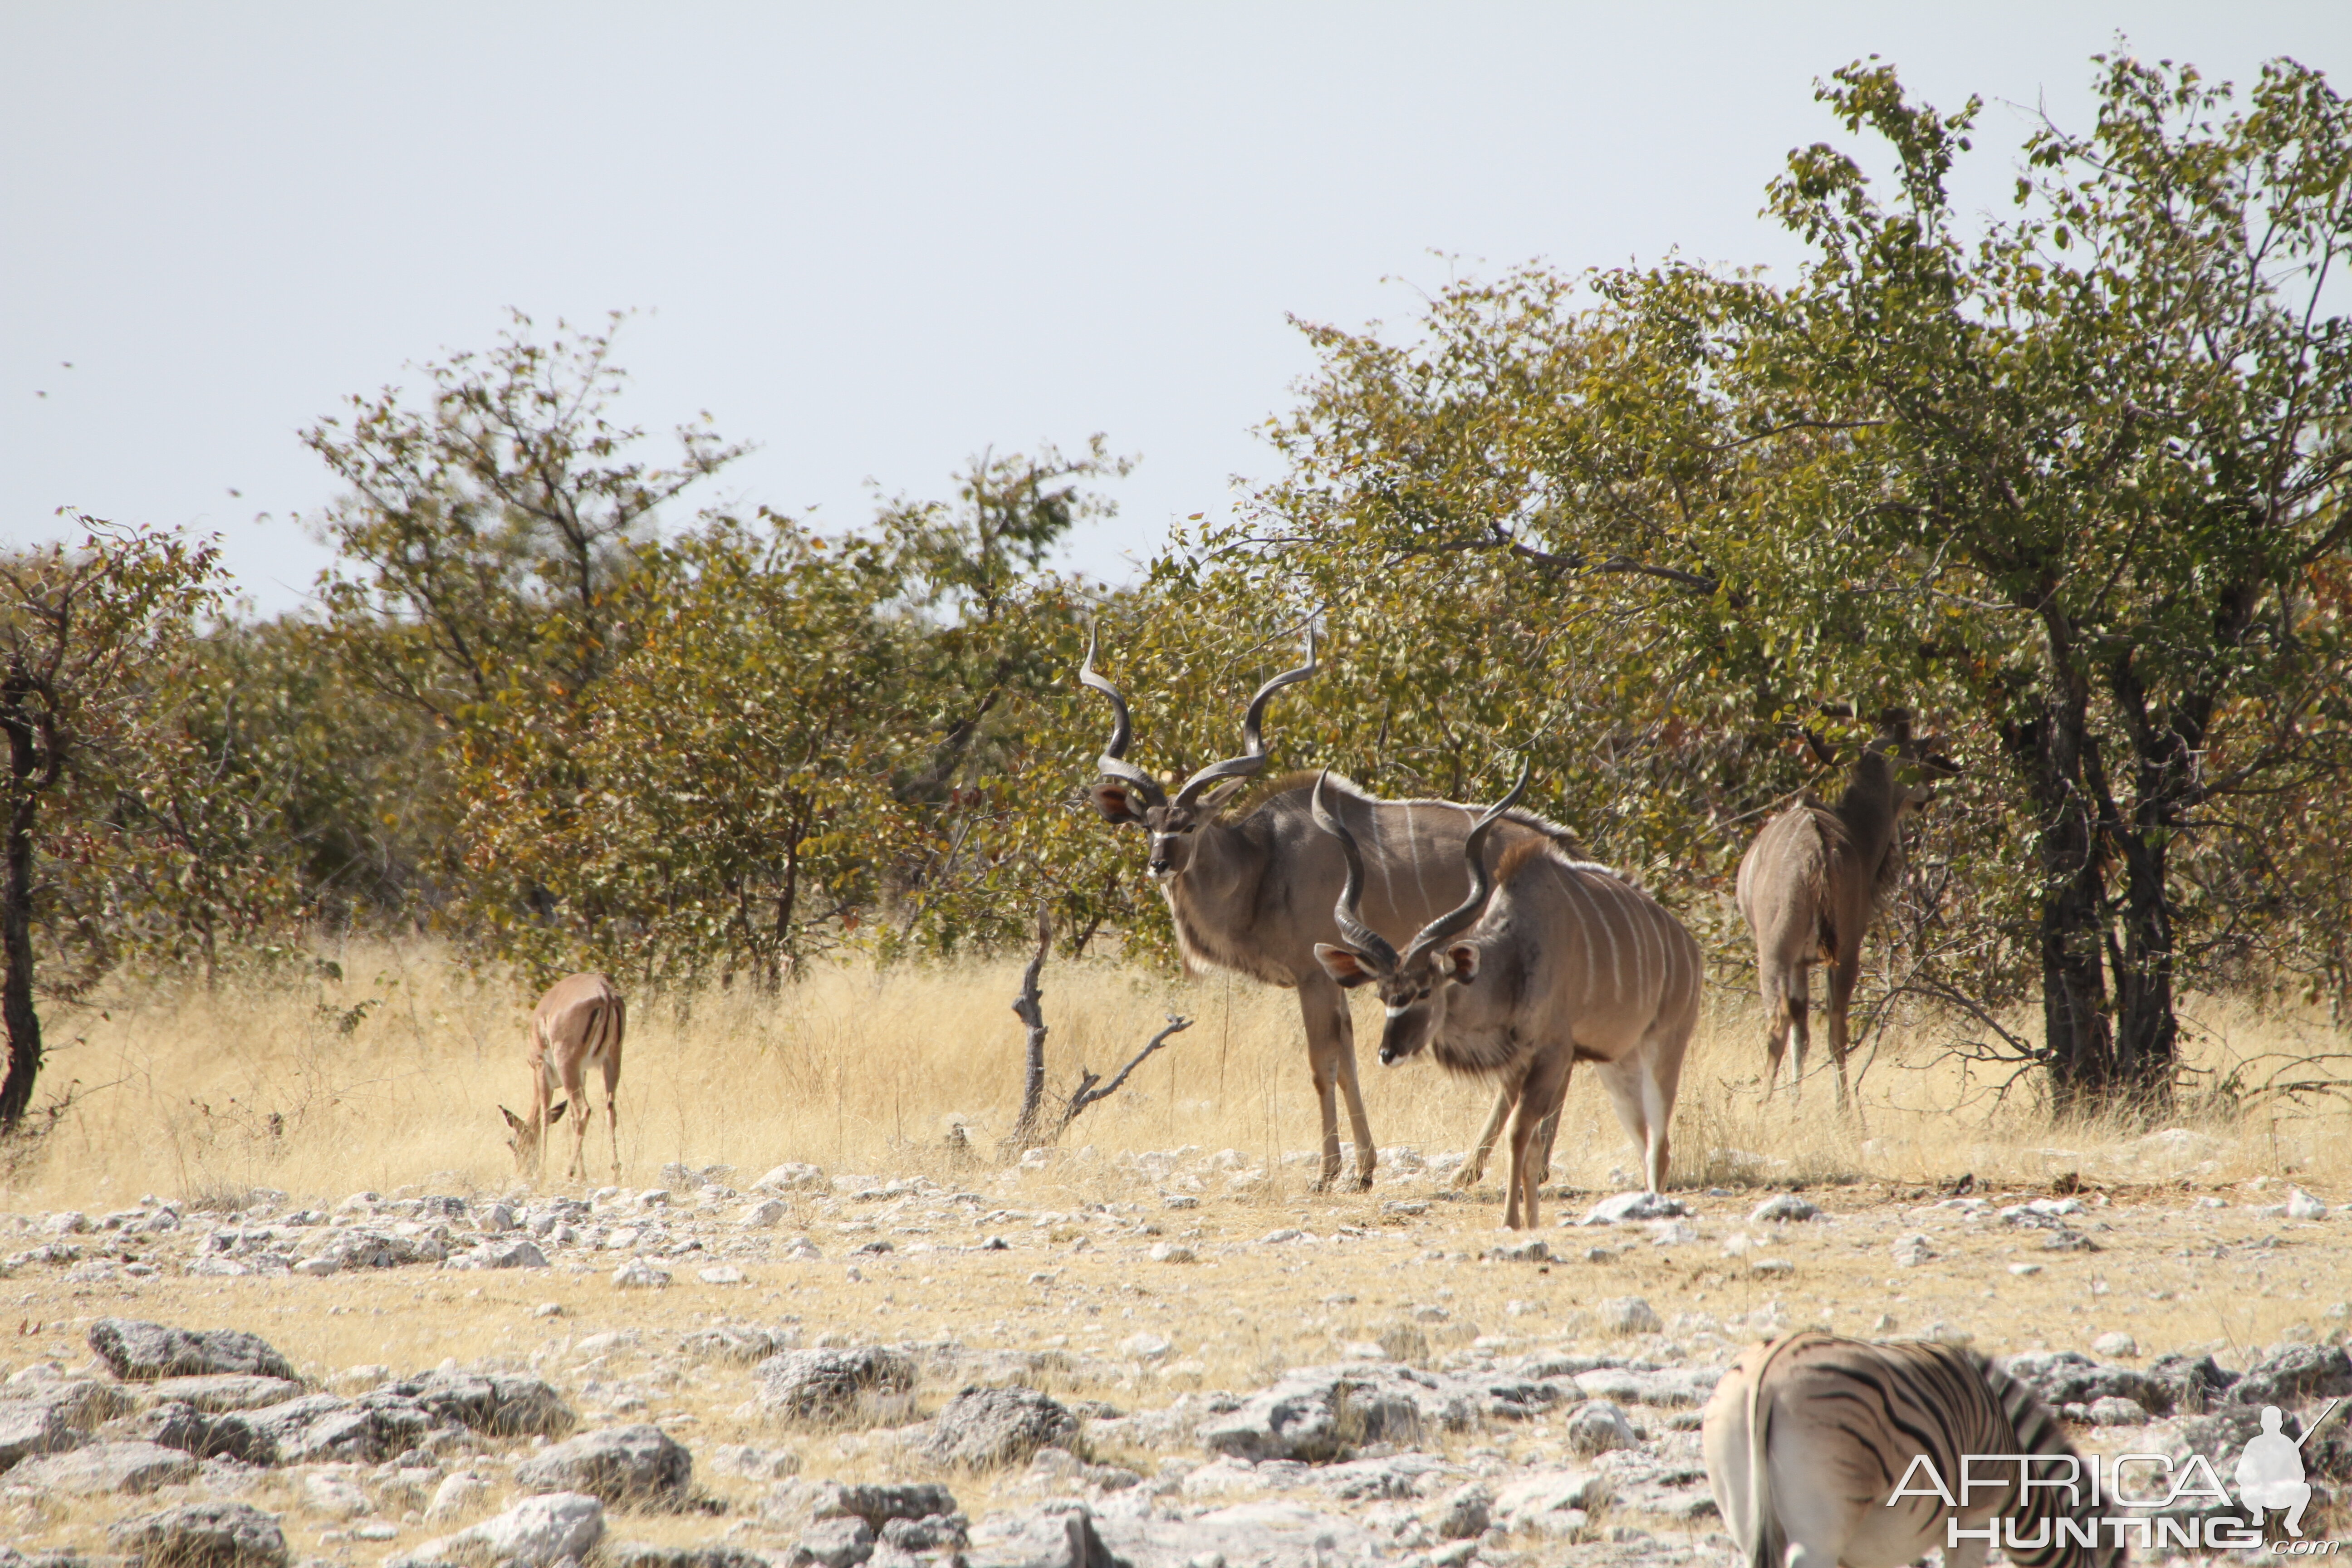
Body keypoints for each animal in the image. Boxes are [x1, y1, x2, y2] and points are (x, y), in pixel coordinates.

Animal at [1082, 630, 1580, 1189]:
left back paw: (1477, 1170)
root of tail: (1560, 852)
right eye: (1147, 825)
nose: (1159, 864)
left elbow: (1324, 1066)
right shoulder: (1339, 978)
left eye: (1189, 824)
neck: (1261, 863)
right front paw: (1364, 1170)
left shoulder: (1313, 976)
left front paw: (1327, 1172)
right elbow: (1349, 1062)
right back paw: (1530, 1167)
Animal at [1317, 771, 1703, 1222]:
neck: (1514, 955)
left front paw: (1512, 1222)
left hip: (1665, 1046)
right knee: (1643, 1138)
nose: (1388, 1053)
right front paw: (1530, 1221)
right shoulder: (1519, 1065)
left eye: (1426, 990)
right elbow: (1529, 1143)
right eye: (1382, 993)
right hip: (1617, 1063)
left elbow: (1518, 1133)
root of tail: (1689, 946)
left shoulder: (1552, 1054)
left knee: (1659, 1143)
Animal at [1740, 719, 1938, 1109]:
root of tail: (1816, 852)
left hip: (1781, 952)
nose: (1929, 794)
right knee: (1829, 1025)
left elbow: (1802, 1030)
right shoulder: (1811, 958)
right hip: (1838, 950)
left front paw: (1795, 1104)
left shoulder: (1801, 960)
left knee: (1788, 1022)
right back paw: (1842, 1110)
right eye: (1913, 756)